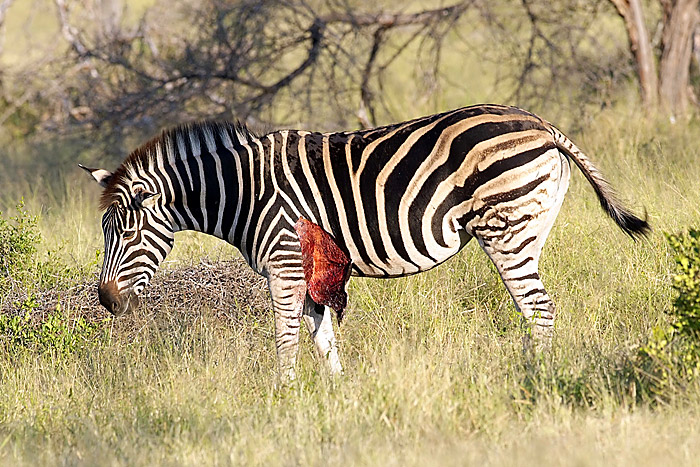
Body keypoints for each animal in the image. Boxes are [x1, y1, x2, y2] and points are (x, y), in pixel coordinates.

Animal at [82, 104, 652, 382]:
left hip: (505, 228)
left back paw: (536, 377)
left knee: (539, 309)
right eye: (106, 233)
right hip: (532, 226)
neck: (245, 190)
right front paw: (336, 400)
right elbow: (323, 342)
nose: (106, 302)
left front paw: (283, 397)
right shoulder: (310, 269)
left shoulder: (284, 262)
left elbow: (286, 340)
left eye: (128, 233)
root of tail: (543, 125)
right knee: (539, 307)